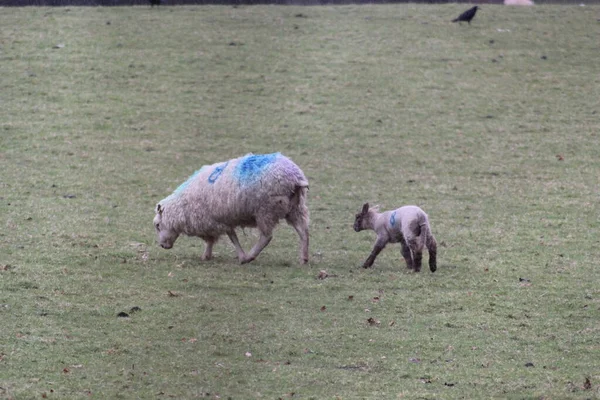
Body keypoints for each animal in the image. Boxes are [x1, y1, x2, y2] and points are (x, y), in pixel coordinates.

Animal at [152, 154, 310, 266]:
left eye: (158, 225)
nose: (162, 246)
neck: (183, 205)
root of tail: (295, 177)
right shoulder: (214, 221)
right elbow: (212, 239)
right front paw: (206, 255)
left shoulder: (219, 219)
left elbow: (232, 238)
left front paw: (241, 256)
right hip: (295, 208)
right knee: (303, 232)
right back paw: (304, 259)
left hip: (266, 210)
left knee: (266, 237)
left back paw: (249, 256)